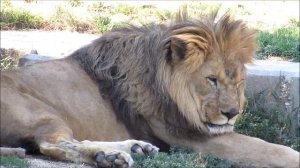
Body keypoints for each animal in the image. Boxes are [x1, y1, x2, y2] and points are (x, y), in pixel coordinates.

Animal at [0, 13, 298, 167]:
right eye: (211, 79)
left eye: (237, 81)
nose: (231, 113)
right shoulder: (187, 135)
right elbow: (265, 148)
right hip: (42, 112)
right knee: (54, 144)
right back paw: (111, 157)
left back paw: (136, 148)